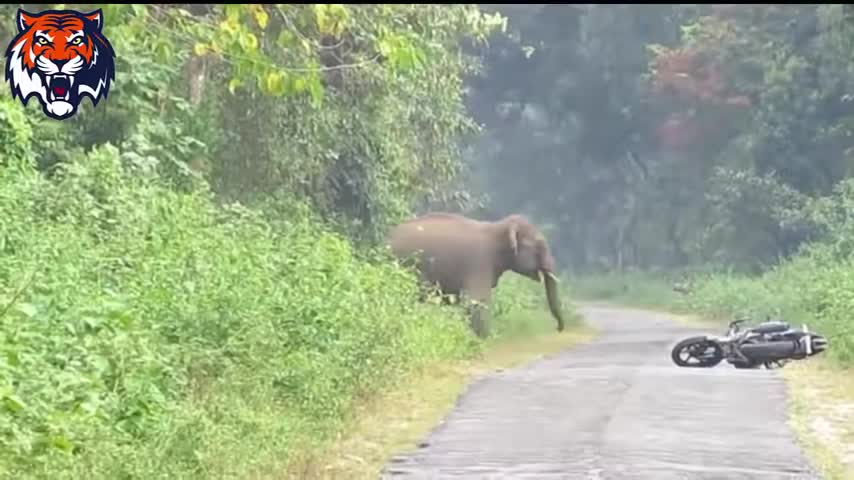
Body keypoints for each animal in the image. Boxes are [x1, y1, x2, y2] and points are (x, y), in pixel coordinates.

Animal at [386, 214, 560, 338]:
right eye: (539, 246)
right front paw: (484, 340)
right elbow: (476, 301)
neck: (498, 227)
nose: (558, 328)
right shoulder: (479, 263)